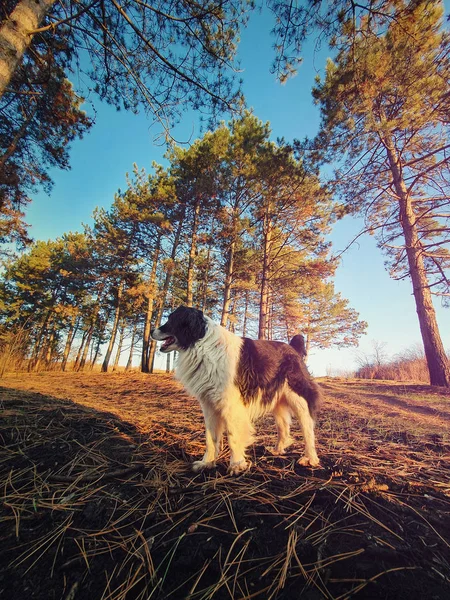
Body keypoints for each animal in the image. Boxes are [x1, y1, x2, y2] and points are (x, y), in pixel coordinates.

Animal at [151, 308, 320, 476]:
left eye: (171, 319)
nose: (152, 331)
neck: (202, 345)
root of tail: (293, 349)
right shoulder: (209, 405)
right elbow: (210, 437)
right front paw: (207, 463)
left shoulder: (231, 406)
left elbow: (233, 436)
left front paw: (237, 465)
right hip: (276, 401)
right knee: (283, 426)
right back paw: (278, 450)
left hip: (298, 399)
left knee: (308, 428)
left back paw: (310, 458)